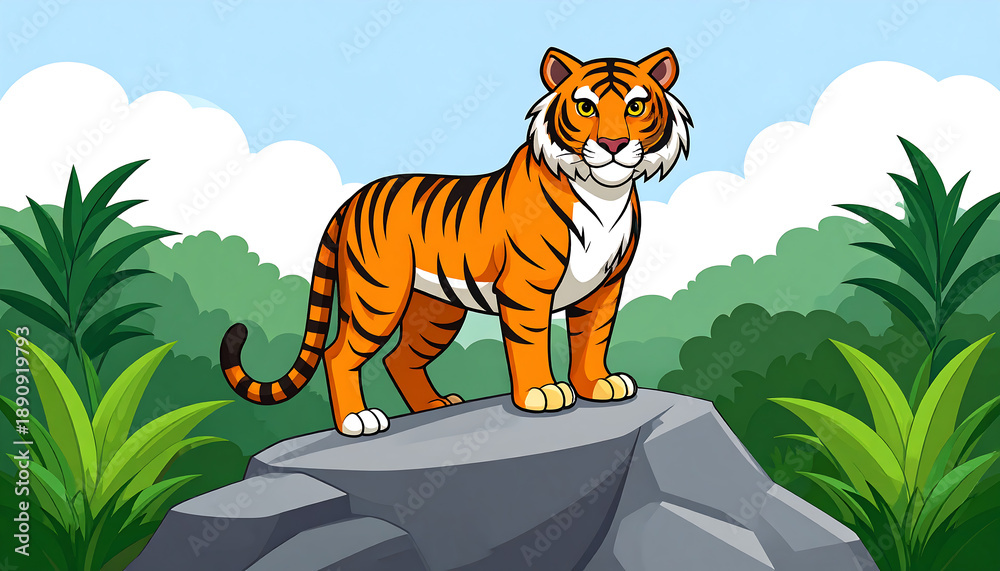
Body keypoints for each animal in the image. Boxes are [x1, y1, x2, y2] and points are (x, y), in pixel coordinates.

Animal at [220, 47, 691, 437]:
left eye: (636, 105)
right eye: (585, 106)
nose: (613, 144)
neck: (604, 194)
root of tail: (350, 202)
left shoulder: (605, 286)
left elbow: (592, 338)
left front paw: (598, 384)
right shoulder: (527, 287)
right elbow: (531, 343)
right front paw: (543, 393)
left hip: (435, 309)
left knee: (398, 358)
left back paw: (434, 405)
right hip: (379, 296)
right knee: (339, 354)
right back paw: (358, 420)